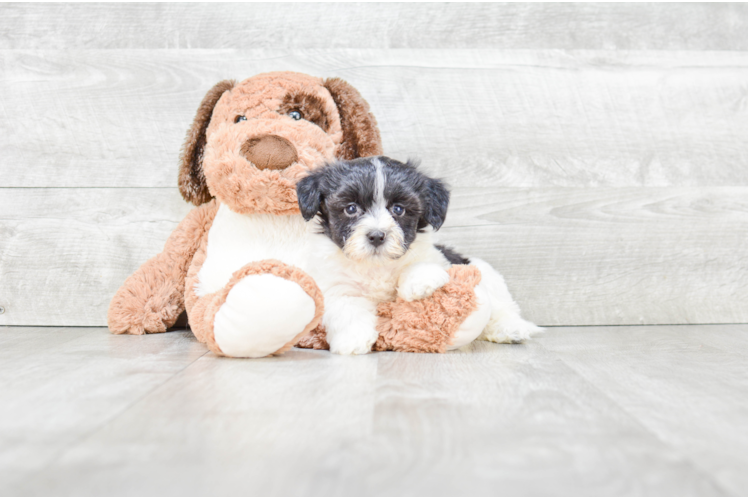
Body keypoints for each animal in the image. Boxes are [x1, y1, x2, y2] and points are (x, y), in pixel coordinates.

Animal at [296, 156, 540, 356]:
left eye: (398, 209)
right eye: (351, 209)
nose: (377, 236)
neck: (377, 265)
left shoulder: (436, 258)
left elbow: (421, 263)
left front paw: (418, 282)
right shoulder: (336, 285)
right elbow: (346, 308)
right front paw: (352, 340)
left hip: (487, 275)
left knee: (502, 307)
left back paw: (512, 328)